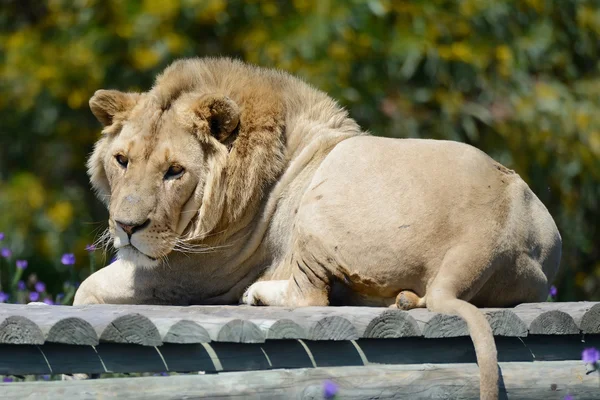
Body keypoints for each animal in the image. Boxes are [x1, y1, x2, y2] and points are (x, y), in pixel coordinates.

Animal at [75, 57, 564, 400]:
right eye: (122, 160)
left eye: (175, 171)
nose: (127, 226)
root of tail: (486, 235)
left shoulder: (190, 273)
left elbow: (85, 289)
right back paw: (406, 301)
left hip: (320, 203)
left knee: (310, 296)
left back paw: (259, 294)